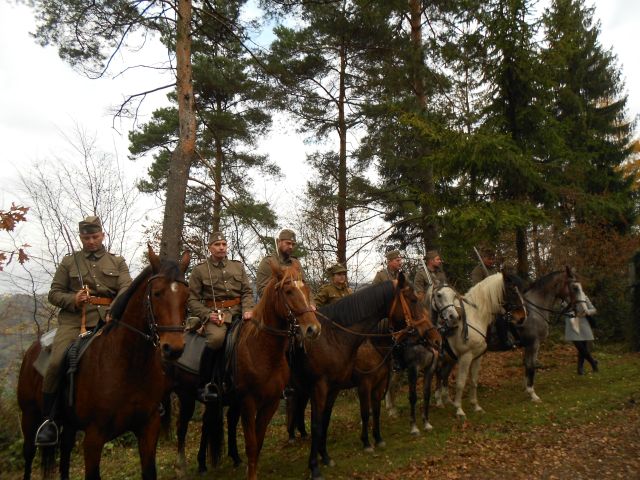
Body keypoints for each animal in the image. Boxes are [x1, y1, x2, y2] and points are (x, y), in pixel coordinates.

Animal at [17, 248, 190, 480]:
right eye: (157, 293)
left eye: (186, 296)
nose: (174, 348)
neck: (129, 366)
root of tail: (32, 350)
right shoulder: (94, 438)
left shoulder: (148, 428)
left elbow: (149, 471)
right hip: (29, 416)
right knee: (29, 454)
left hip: (68, 424)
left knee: (65, 452)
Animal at [436, 272, 524, 418]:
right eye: (512, 290)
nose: (522, 316)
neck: (475, 318)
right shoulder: (465, 357)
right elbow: (460, 383)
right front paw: (459, 409)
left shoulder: (477, 357)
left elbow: (473, 381)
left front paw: (476, 406)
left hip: (449, 360)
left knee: (443, 376)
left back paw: (444, 401)